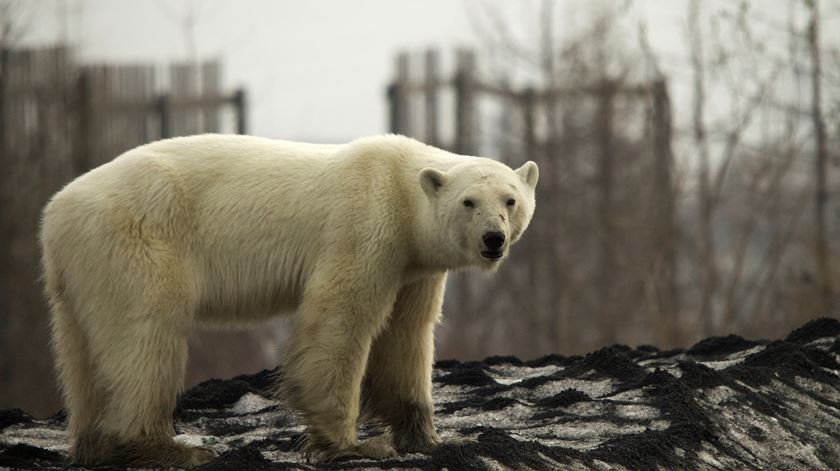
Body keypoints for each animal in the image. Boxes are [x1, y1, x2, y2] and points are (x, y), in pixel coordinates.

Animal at [41, 134, 540, 468]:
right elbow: (340, 319)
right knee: (145, 336)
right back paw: (170, 448)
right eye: (468, 202)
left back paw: (95, 446)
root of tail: (56, 211)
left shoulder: (414, 267)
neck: (400, 186)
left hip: (81, 269)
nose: (493, 240)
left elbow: (407, 336)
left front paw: (428, 438)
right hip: (139, 239)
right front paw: (353, 444)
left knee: (80, 352)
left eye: (510, 200)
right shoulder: (365, 226)